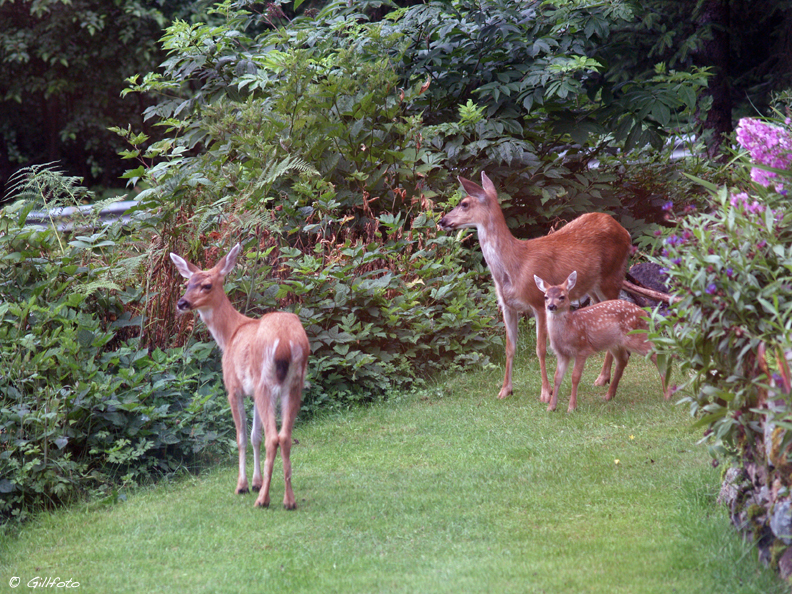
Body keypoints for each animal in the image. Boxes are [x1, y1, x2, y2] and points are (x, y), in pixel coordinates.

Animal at [170, 243, 309, 510]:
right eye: (187, 283)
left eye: (206, 285)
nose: (181, 303)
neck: (230, 333)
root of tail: (285, 341)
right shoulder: (252, 391)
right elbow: (254, 436)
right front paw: (255, 482)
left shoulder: (234, 388)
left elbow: (242, 437)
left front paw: (243, 486)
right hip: (294, 383)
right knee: (285, 436)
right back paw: (289, 500)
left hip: (266, 382)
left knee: (273, 437)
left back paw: (263, 500)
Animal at [437, 172, 632, 403]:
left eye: (464, 203)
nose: (442, 221)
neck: (514, 266)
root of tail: (626, 232)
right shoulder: (507, 306)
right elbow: (510, 348)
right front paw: (505, 390)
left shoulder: (539, 302)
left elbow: (540, 349)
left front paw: (546, 393)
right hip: (593, 287)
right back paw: (604, 377)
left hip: (613, 276)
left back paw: (602, 378)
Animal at [534, 271, 671, 412]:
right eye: (545, 297)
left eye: (562, 296)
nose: (551, 306)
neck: (570, 327)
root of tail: (644, 313)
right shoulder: (562, 354)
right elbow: (557, 377)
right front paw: (551, 407)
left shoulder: (582, 349)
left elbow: (575, 377)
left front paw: (571, 407)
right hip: (615, 343)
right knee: (623, 359)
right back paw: (609, 395)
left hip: (635, 337)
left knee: (657, 352)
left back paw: (667, 394)